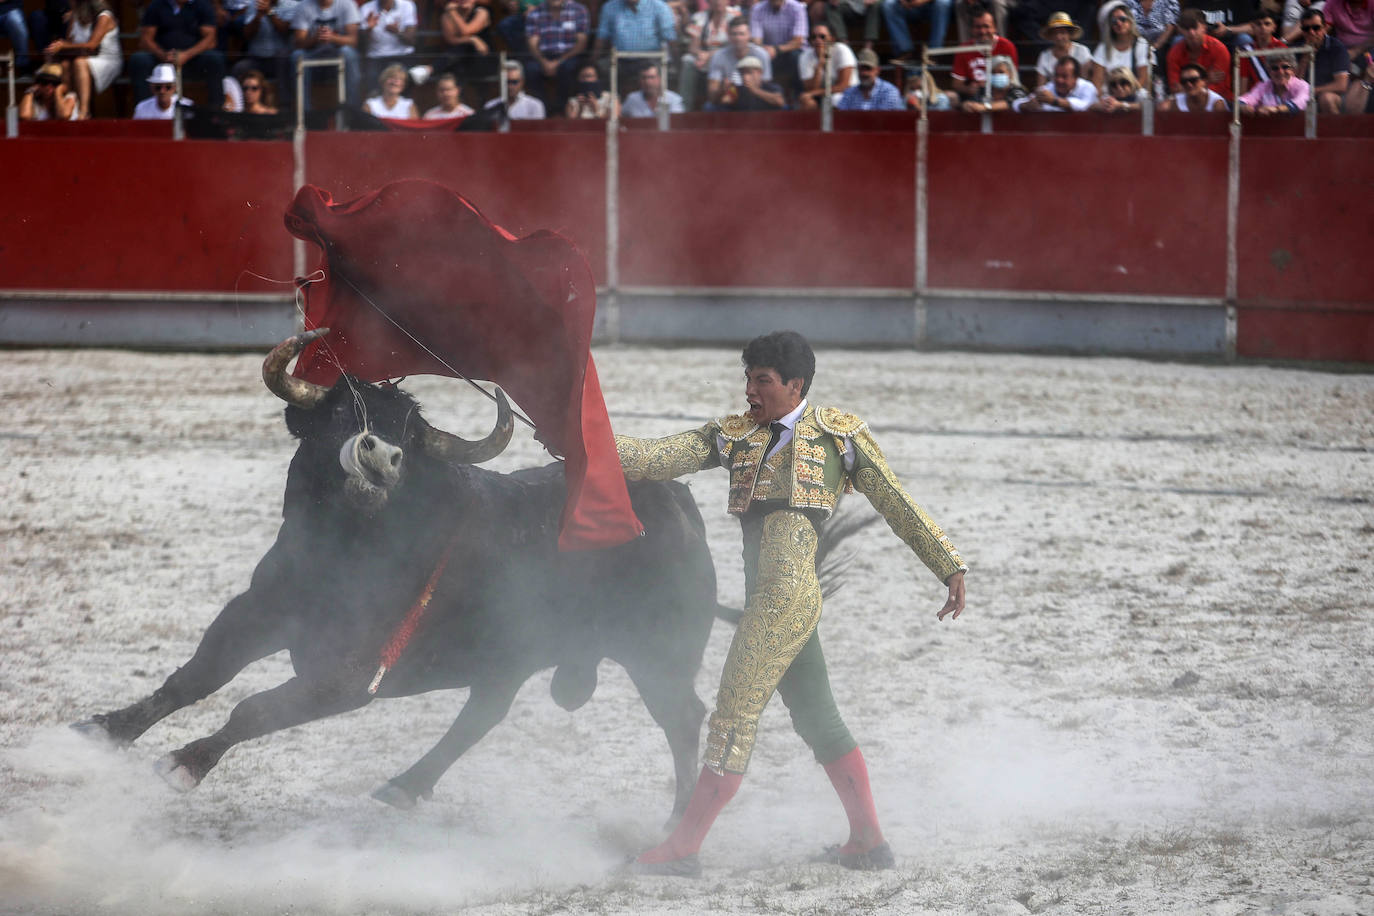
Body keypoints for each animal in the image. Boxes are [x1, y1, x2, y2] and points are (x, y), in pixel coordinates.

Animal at [77, 333, 719, 818]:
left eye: (409, 434)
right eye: (339, 413)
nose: (381, 456)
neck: (339, 555)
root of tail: (677, 500)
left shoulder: (348, 677)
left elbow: (252, 709)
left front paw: (184, 764)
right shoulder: (254, 612)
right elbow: (194, 677)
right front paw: (106, 727)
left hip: (659, 656)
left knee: (684, 721)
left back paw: (676, 830)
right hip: (512, 659)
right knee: (484, 713)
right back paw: (405, 785)